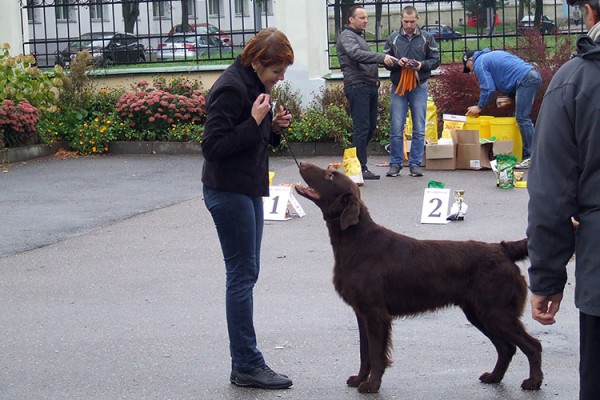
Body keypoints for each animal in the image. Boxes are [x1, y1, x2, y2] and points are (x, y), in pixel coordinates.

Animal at [296, 162, 544, 394]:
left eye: (330, 176)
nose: (302, 164)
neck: (357, 241)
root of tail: (502, 249)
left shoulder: (376, 314)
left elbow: (376, 354)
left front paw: (372, 385)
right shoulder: (362, 313)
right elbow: (364, 353)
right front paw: (359, 379)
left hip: (496, 311)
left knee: (532, 345)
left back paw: (533, 382)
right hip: (479, 312)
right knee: (507, 348)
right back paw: (494, 377)